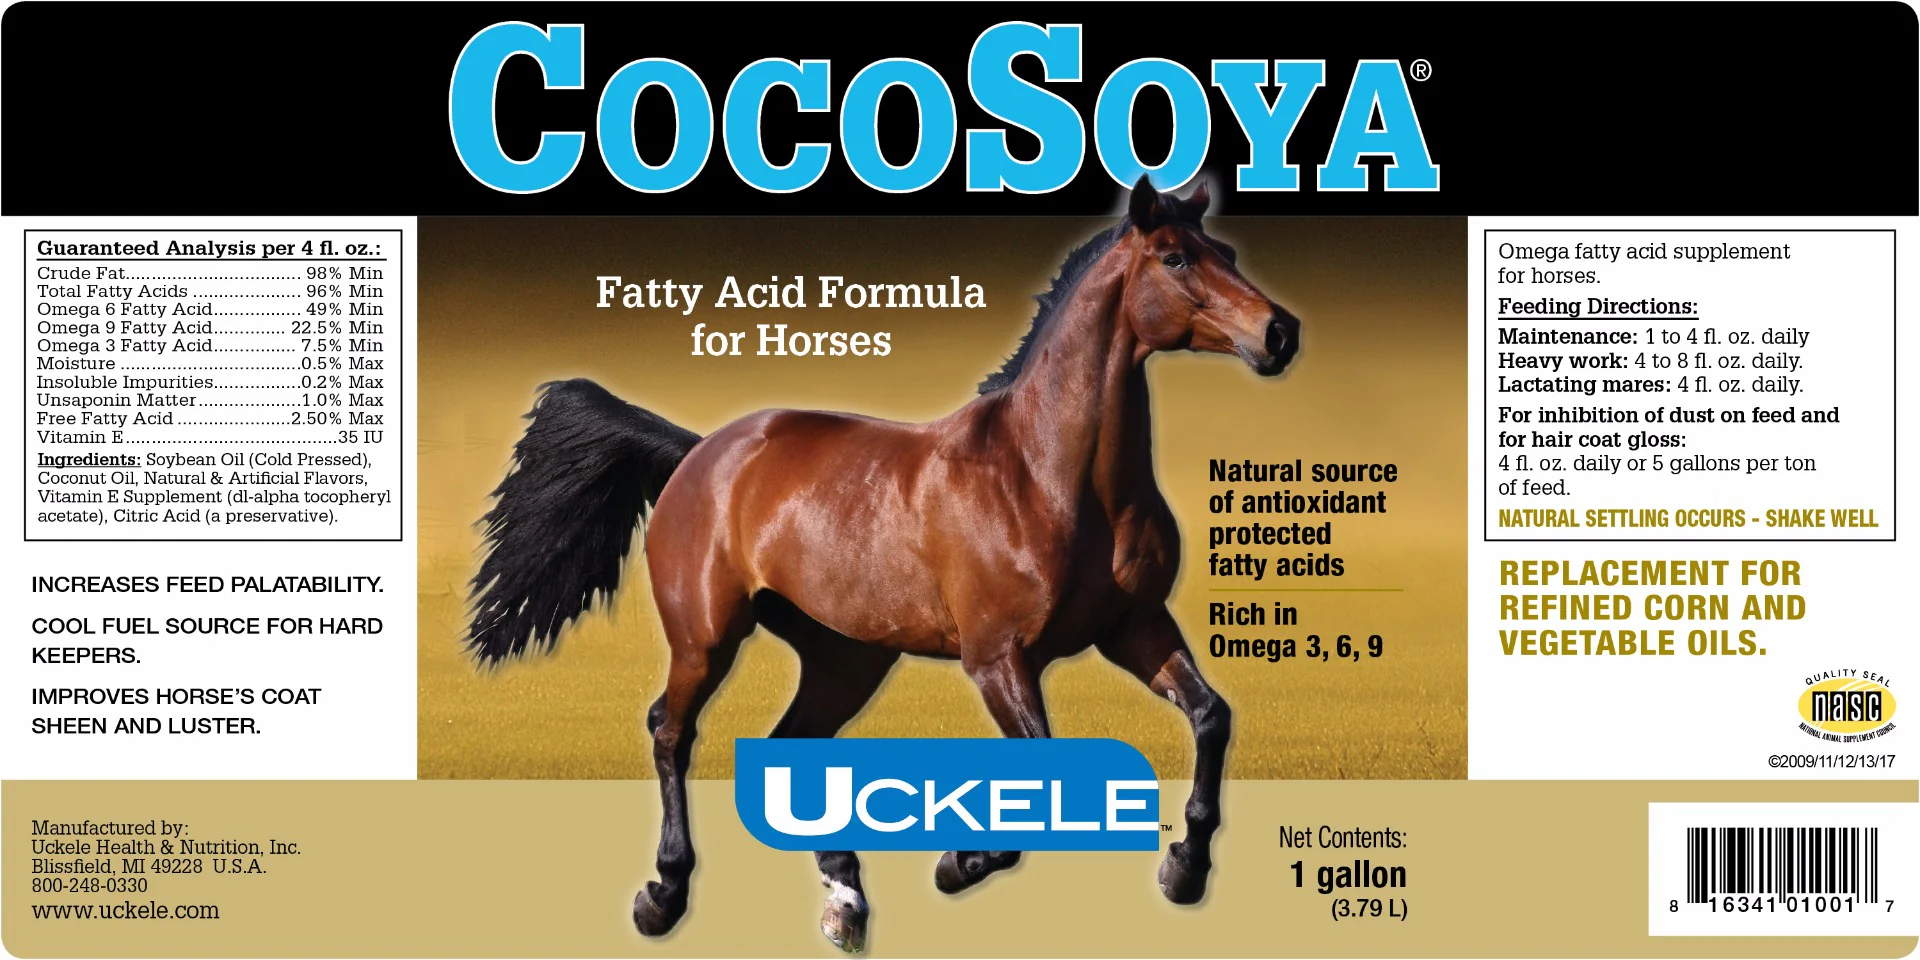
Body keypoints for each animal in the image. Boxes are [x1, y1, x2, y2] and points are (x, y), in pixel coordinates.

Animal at [466, 177, 1300, 952]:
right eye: (1175, 257)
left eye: (1227, 253)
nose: (1280, 332)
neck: (1048, 476)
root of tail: (701, 453)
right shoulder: (998, 657)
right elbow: (1042, 765)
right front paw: (958, 863)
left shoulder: (1135, 628)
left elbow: (1211, 716)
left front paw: (1184, 868)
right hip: (706, 638)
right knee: (670, 729)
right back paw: (664, 897)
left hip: (847, 656)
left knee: (790, 745)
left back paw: (846, 897)